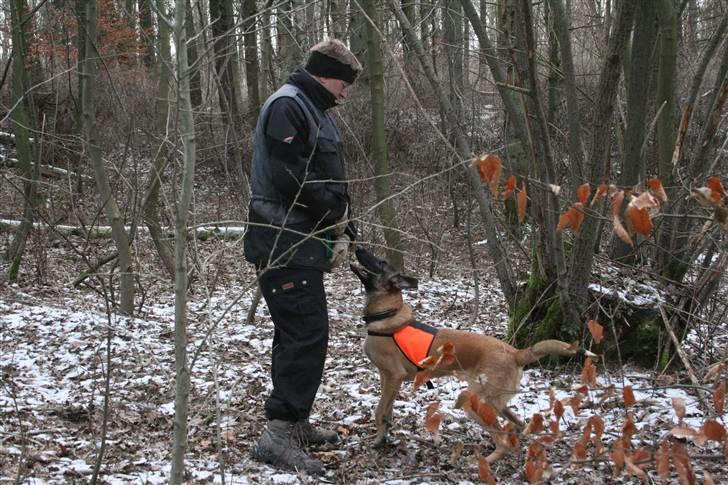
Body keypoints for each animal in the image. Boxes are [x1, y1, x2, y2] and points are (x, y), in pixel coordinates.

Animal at [350, 248, 596, 464]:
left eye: (381, 262)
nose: (358, 247)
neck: (386, 314)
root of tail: (515, 353)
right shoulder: (388, 379)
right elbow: (387, 413)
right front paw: (382, 438)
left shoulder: (394, 376)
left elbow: (379, 410)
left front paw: (378, 439)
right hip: (496, 402)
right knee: (517, 425)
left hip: (473, 402)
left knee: (503, 440)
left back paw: (483, 462)